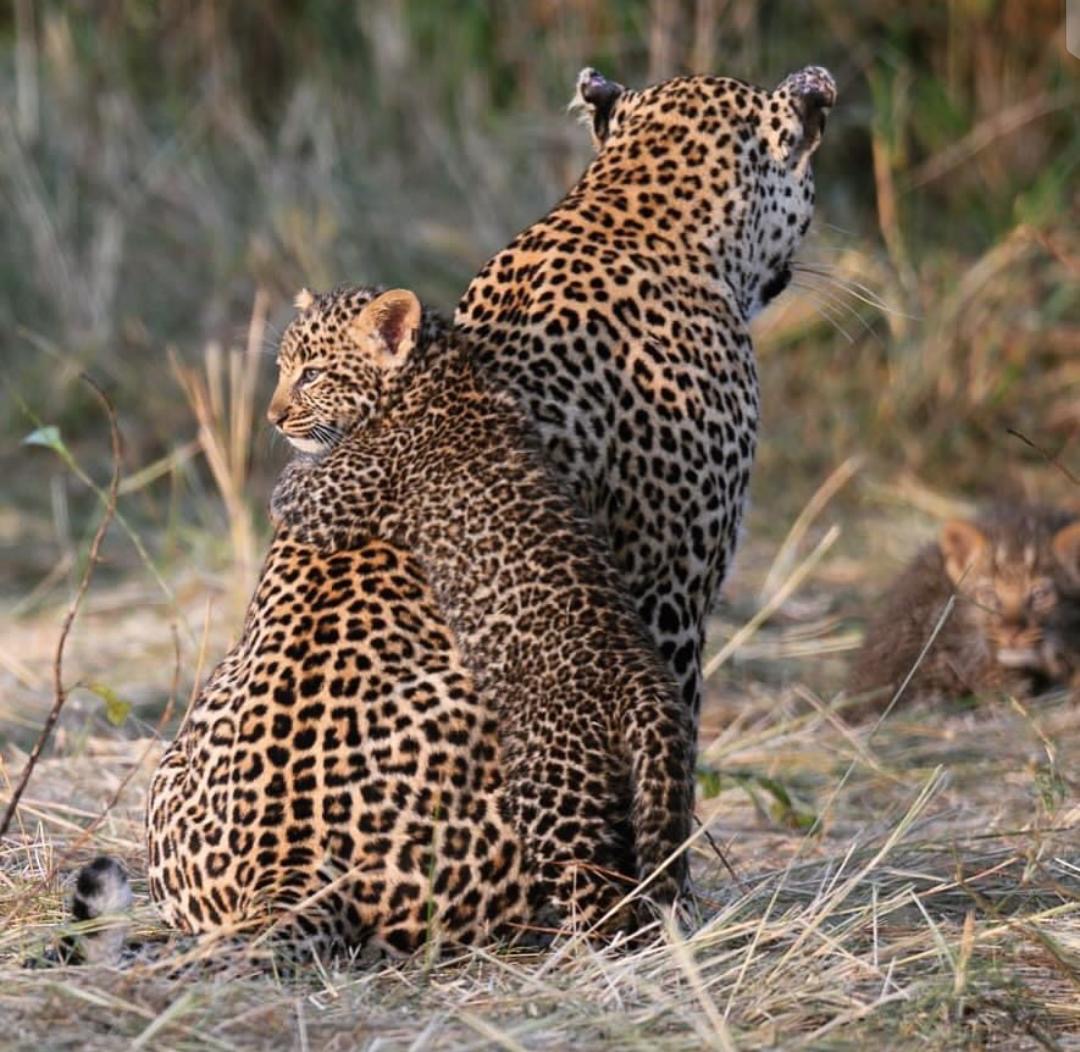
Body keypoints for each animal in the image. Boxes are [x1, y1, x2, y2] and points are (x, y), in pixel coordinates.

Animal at [269, 285, 693, 931]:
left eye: (311, 373)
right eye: (281, 368)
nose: (272, 417)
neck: (436, 372)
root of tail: (640, 684)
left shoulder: (337, 497)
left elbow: (294, 484)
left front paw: (290, 463)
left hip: (554, 786)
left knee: (596, 896)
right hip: (652, 781)